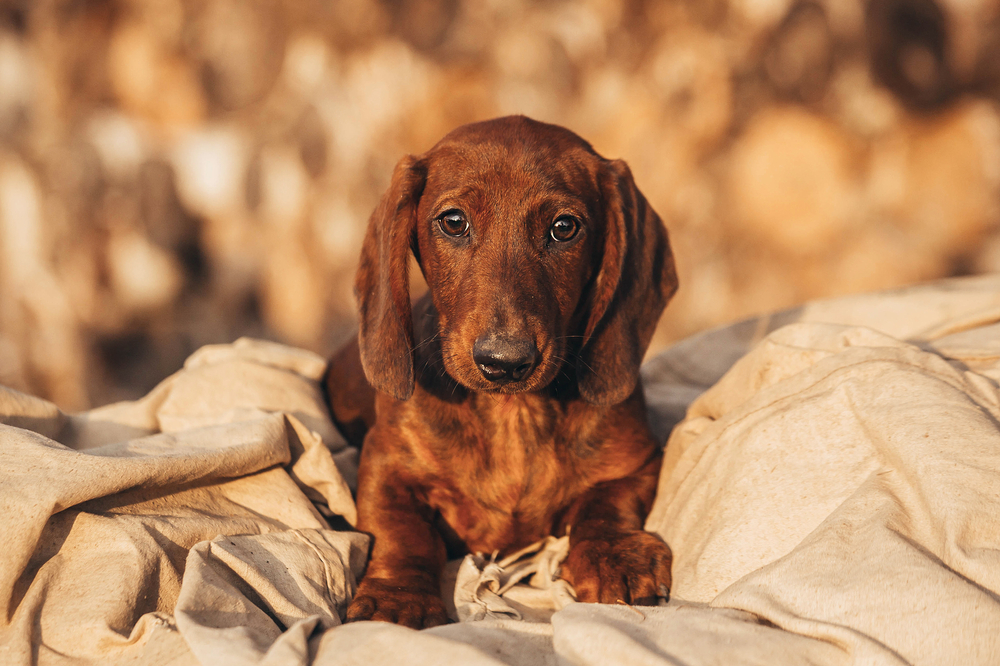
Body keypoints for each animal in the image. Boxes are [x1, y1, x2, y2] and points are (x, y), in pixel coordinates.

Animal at [324, 115, 676, 628]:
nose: (504, 362)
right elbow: (402, 531)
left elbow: (605, 504)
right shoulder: (384, 465)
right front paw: (398, 597)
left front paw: (615, 554)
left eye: (564, 227)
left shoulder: (637, 462)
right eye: (454, 221)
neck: (513, 414)